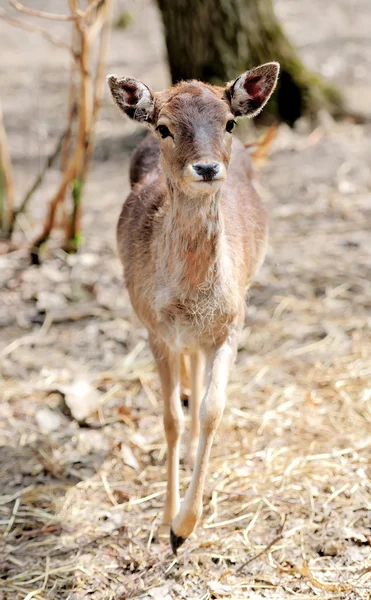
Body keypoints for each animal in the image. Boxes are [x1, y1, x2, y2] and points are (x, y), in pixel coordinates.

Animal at [107, 63, 280, 556]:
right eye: (165, 127)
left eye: (230, 122)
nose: (206, 167)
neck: (187, 299)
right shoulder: (153, 328)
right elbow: (169, 417)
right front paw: (167, 519)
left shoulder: (232, 321)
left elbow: (213, 409)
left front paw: (184, 527)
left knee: (199, 376)